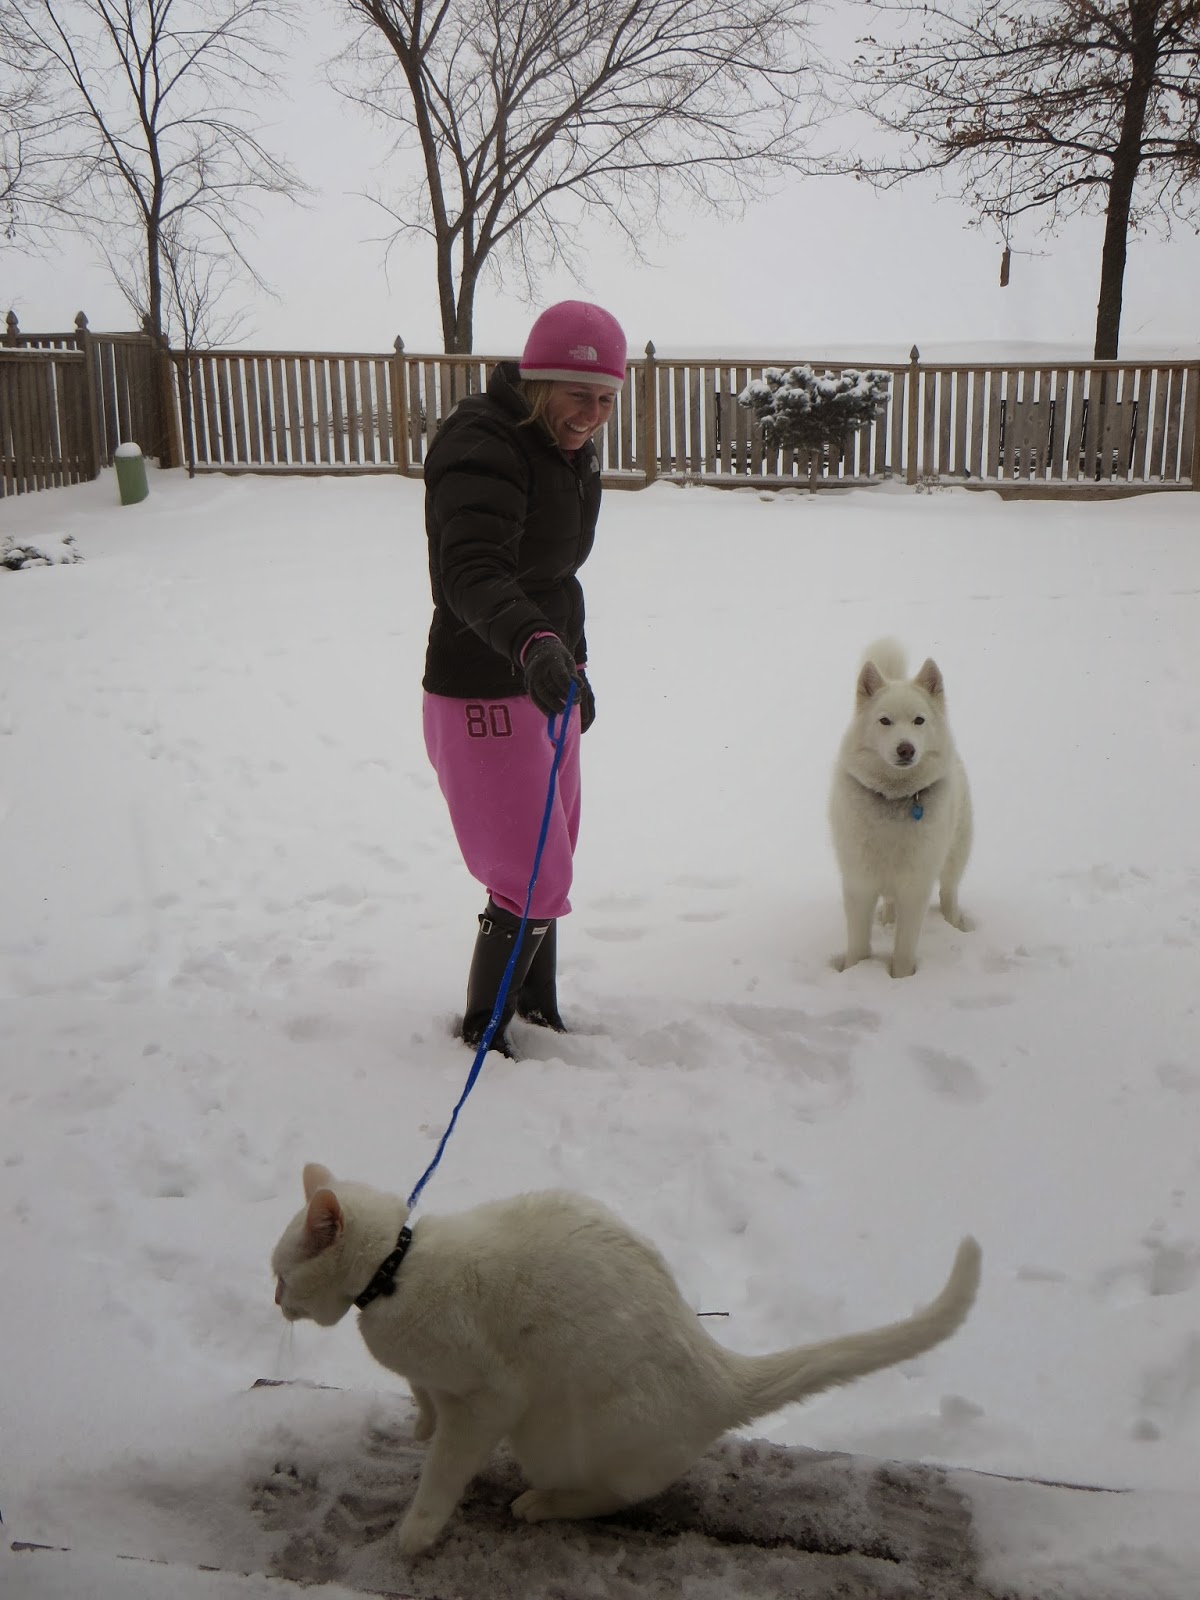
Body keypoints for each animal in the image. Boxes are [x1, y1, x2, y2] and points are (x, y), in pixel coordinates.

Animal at [271, 1164, 981, 1557]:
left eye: (280, 1274)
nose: (275, 1299)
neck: (396, 1268)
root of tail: (717, 1371)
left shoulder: (488, 1399)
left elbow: (444, 1470)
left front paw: (417, 1532)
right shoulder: (440, 1383)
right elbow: (424, 1398)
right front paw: (419, 1422)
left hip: (552, 1433)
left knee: (613, 1494)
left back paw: (542, 1504)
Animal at [829, 640, 973, 978]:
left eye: (919, 720)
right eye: (885, 721)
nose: (906, 748)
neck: (894, 798)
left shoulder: (915, 886)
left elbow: (906, 946)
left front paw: (902, 979)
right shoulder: (859, 884)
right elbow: (858, 944)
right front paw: (856, 970)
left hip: (954, 856)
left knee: (949, 893)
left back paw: (954, 925)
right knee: (891, 902)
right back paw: (887, 920)